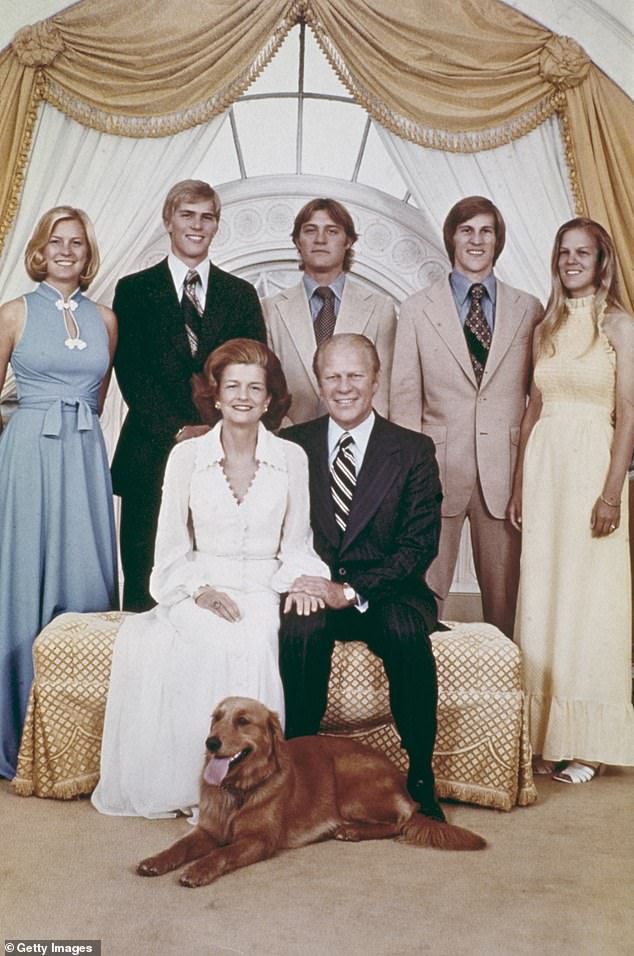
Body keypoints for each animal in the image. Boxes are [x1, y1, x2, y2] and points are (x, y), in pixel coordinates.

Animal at [138, 696, 484, 888]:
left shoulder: (259, 841)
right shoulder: (208, 830)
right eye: (216, 718)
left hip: (349, 780)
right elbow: (179, 846)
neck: (239, 790)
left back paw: (351, 831)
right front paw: (156, 860)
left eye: (243, 720)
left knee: (400, 822)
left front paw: (199, 870)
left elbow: (221, 853)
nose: (211, 742)